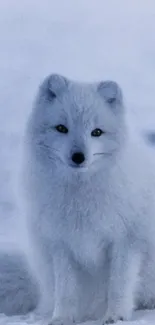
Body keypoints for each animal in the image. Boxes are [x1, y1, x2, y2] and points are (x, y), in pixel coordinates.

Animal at [8, 73, 155, 322]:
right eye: (61, 128)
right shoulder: (61, 244)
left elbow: (119, 284)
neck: (80, 198)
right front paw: (62, 319)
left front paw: (116, 316)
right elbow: (66, 289)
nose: (78, 156)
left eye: (96, 132)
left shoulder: (127, 240)